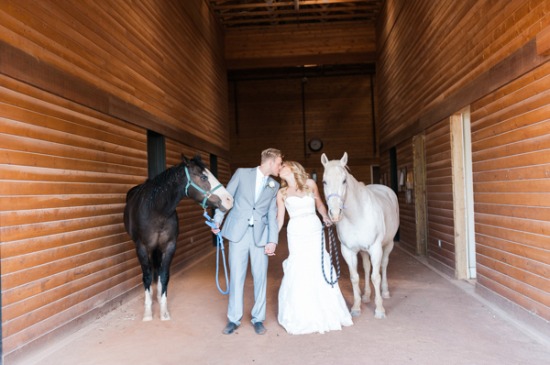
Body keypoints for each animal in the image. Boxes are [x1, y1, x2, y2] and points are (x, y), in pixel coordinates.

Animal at [124, 155, 233, 320]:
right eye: (203, 177)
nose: (229, 200)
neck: (156, 210)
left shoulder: (169, 246)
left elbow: (164, 275)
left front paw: (164, 312)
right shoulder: (142, 247)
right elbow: (147, 276)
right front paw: (148, 314)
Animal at [320, 152, 402, 318]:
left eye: (344, 180)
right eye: (324, 181)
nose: (335, 213)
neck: (357, 216)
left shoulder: (375, 248)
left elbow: (375, 277)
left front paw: (379, 309)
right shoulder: (348, 251)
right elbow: (355, 277)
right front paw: (356, 307)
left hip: (388, 244)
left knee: (383, 265)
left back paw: (385, 292)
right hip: (364, 251)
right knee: (366, 267)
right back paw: (366, 295)